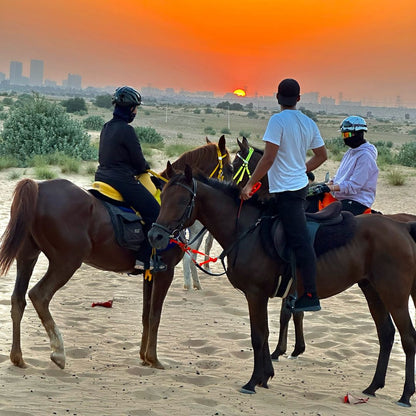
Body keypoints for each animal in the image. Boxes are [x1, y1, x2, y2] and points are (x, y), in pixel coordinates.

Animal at [0, 136, 234, 370]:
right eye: (231, 168)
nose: (235, 190)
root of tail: (38, 187)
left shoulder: (150, 273)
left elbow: (146, 315)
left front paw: (143, 357)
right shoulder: (165, 271)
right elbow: (155, 316)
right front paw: (154, 358)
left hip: (28, 256)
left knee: (18, 300)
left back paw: (18, 357)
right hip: (66, 262)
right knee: (39, 295)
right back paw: (58, 351)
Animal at [150, 164, 416, 408]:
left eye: (182, 201)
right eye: (163, 198)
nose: (155, 236)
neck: (247, 231)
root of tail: (402, 227)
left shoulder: (255, 294)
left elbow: (258, 336)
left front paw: (253, 381)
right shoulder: (262, 296)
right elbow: (266, 332)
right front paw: (265, 376)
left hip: (394, 295)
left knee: (408, 337)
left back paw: (405, 395)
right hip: (372, 290)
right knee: (386, 334)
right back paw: (373, 387)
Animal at [232, 136, 416, 364]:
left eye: (235, 165)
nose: (233, 190)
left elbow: (287, 312)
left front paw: (280, 350)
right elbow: (296, 310)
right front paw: (296, 348)